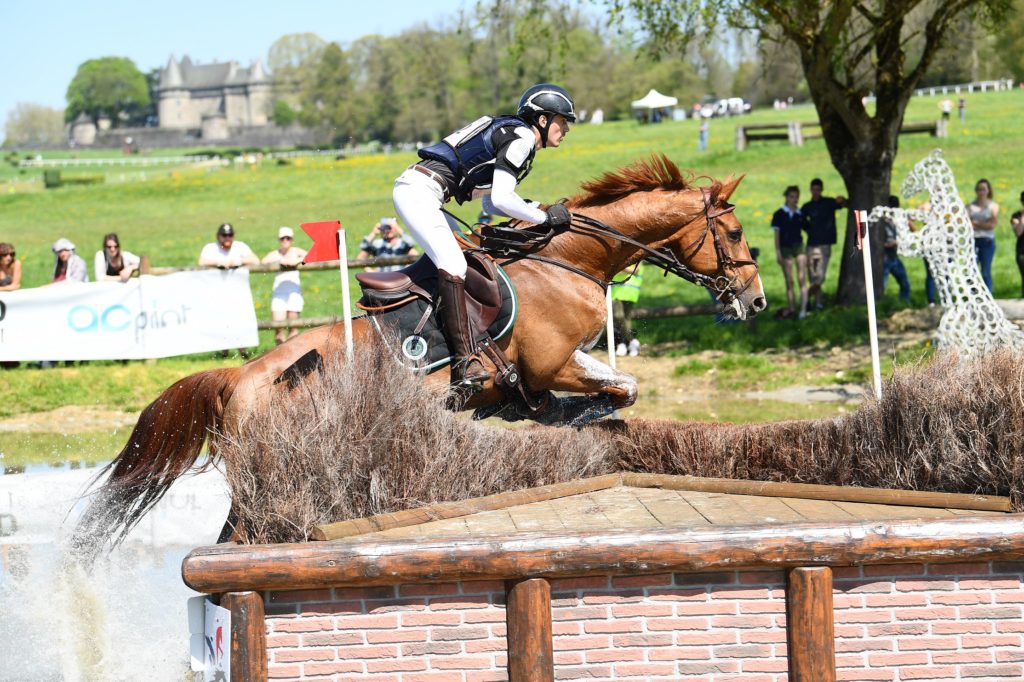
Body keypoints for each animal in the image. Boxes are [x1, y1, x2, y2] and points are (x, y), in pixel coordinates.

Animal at [72, 153, 765, 552]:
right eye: (733, 233)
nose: (755, 301)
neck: (567, 259)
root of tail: (239, 377)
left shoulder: (555, 370)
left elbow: (610, 390)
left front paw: (562, 417)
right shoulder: (553, 361)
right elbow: (617, 388)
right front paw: (585, 414)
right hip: (272, 479)